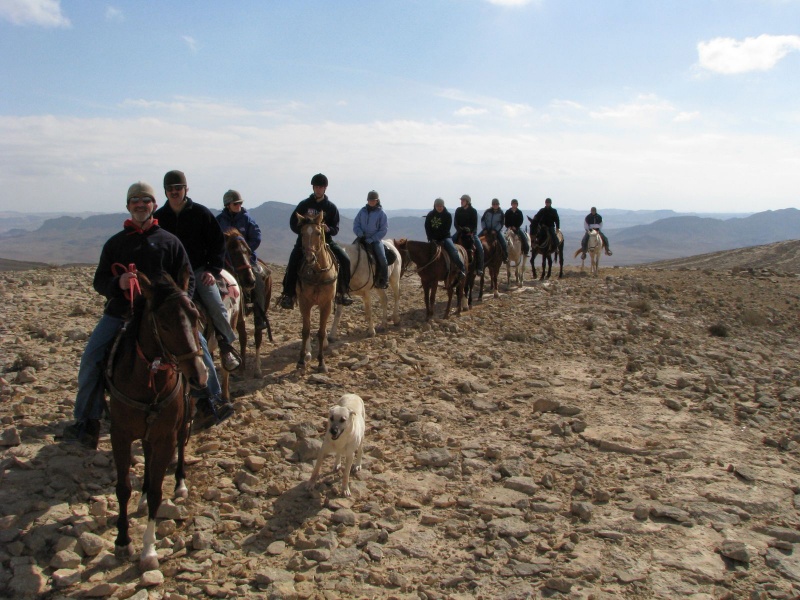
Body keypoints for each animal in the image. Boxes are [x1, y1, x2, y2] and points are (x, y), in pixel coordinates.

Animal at [106, 270, 206, 572]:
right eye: (163, 323)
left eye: (196, 316)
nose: (199, 375)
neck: (147, 382)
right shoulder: (120, 434)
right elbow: (123, 488)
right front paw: (122, 541)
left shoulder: (165, 437)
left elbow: (157, 494)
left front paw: (148, 550)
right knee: (147, 460)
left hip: (182, 419)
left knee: (181, 447)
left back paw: (181, 484)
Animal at [223, 227, 274, 378]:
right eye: (233, 251)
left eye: (248, 251)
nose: (250, 281)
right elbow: (241, 338)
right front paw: (240, 368)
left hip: (262, 307)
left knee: (258, 334)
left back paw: (257, 369)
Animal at [298, 211, 340, 370]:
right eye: (302, 233)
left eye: (317, 232)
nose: (310, 258)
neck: (317, 273)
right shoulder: (304, 303)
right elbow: (305, 331)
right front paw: (301, 359)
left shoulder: (326, 304)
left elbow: (321, 332)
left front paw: (321, 362)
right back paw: (308, 352)